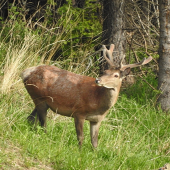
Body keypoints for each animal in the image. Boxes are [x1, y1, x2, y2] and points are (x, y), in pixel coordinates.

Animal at [20, 43, 152, 147]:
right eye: (105, 71)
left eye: (116, 75)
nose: (98, 80)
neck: (98, 103)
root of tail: (25, 72)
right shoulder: (79, 112)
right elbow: (81, 137)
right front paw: (80, 152)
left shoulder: (97, 120)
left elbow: (95, 141)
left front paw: (94, 155)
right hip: (39, 97)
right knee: (42, 123)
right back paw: (46, 138)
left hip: (40, 100)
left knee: (31, 118)